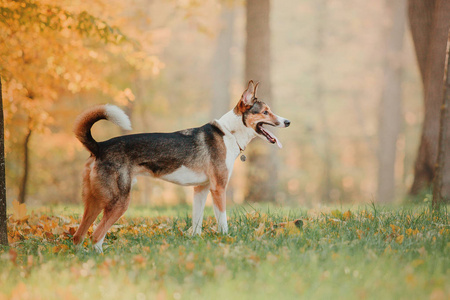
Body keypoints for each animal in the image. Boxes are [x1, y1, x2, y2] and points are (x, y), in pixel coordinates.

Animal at [72, 81, 290, 252]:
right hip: (118, 201)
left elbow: (197, 223)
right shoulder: (218, 188)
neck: (229, 133)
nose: (287, 122)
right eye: (265, 112)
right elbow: (223, 221)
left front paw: (196, 241)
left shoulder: (201, 189)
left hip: (95, 201)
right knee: (96, 235)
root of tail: (99, 146)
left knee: (78, 236)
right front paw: (226, 241)